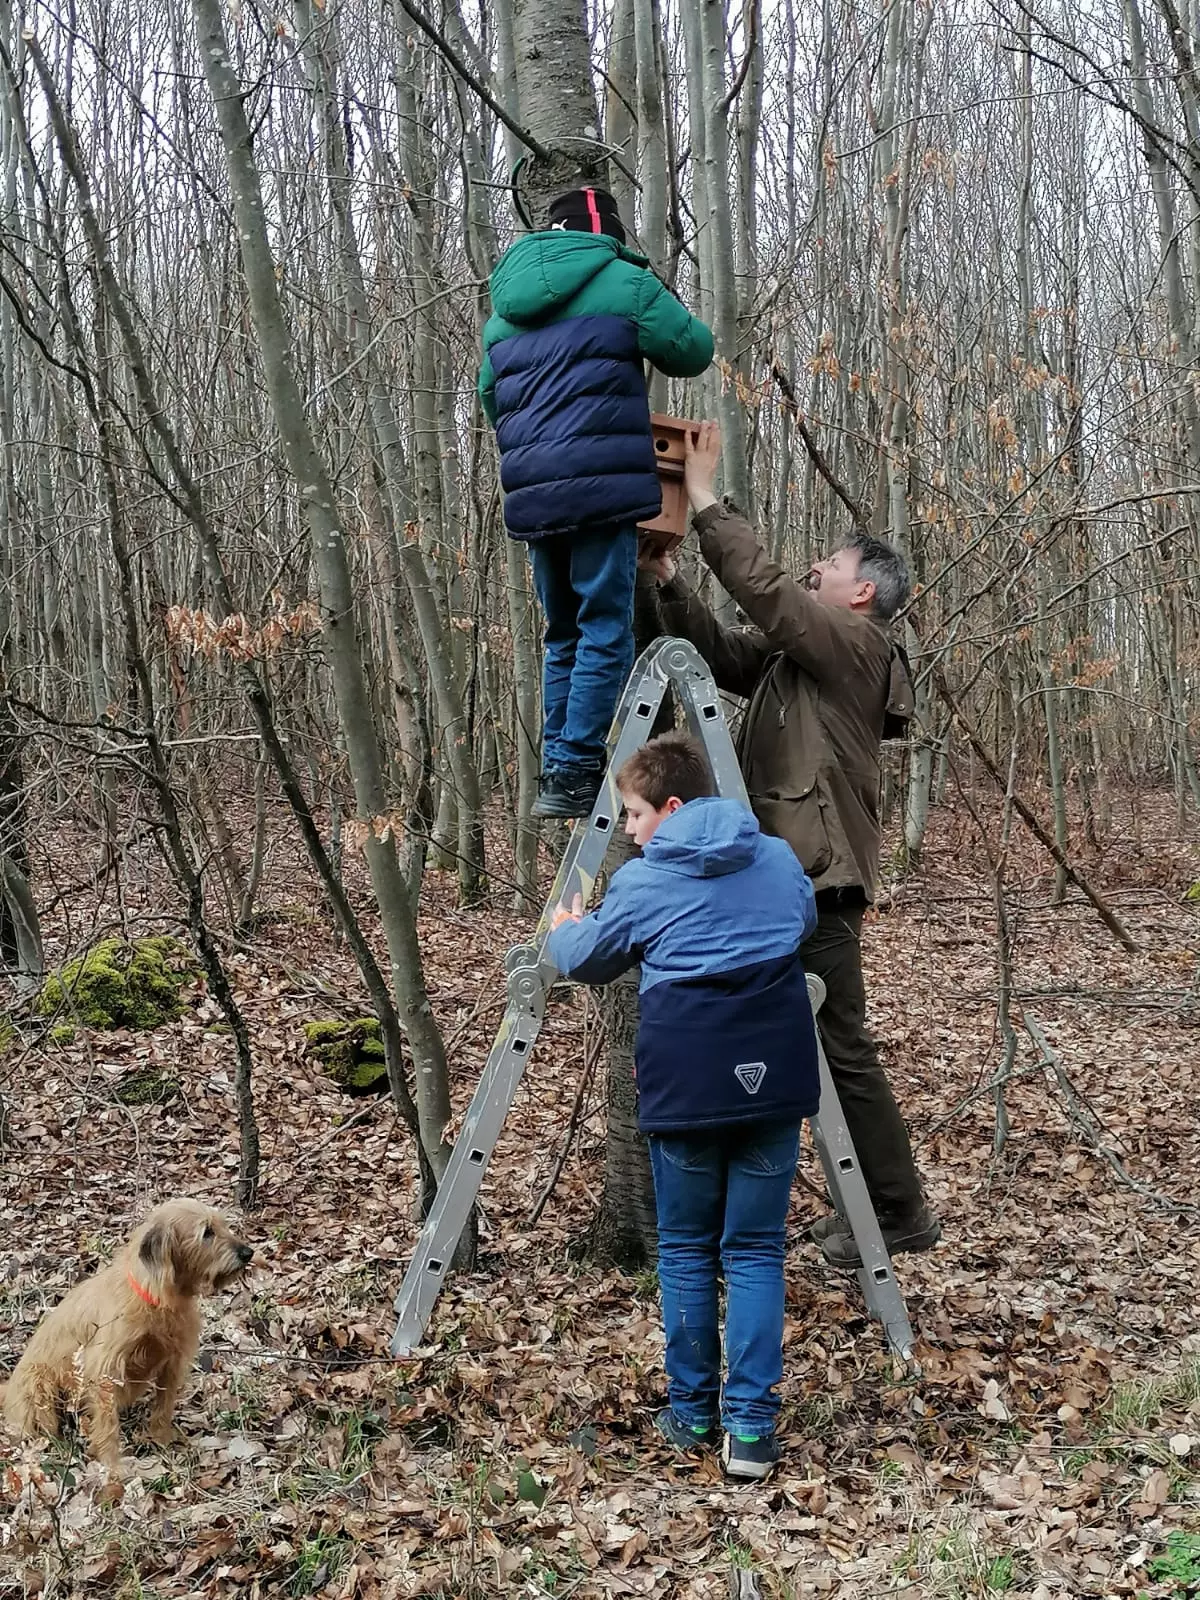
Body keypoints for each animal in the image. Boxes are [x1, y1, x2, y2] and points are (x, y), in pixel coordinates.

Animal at [0, 1203, 249, 1472]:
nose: (248, 1252)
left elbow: (164, 1405)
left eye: (222, 1225)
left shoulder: (172, 1361)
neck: (155, 1297)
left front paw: (161, 1440)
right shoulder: (106, 1368)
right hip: (39, 1385)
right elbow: (107, 1423)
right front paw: (111, 1462)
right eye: (207, 1232)